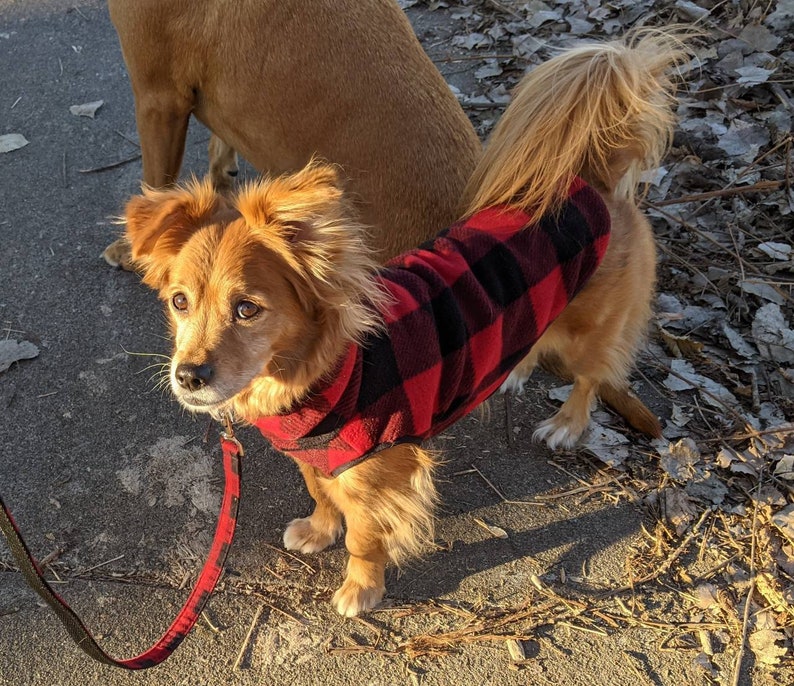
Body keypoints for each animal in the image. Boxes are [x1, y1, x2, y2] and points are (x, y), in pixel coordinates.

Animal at [122, 33, 680, 620]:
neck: (321, 374)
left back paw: (567, 424)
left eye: (247, 309)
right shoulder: (320, 459)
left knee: (592, 377)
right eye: (179, 302)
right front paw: (319, 529)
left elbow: (364, 537)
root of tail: (592, 183)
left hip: (589, 333)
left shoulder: (379, 476)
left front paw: (362, 587)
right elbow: (321, 493)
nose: (188, 376)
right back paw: (510, 371)